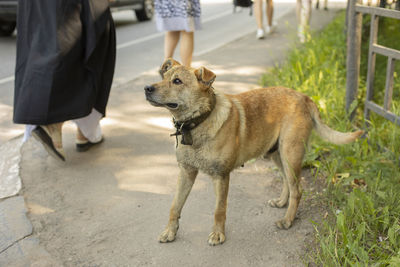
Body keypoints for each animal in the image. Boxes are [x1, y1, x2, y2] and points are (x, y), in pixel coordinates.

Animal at [145, 58, 364, 247]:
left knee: (297, 190)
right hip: (277, 155)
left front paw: (218, 234)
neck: (198, 123)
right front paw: (170, 232)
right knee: (287, 182)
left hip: (290, 154)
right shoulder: (186, 173)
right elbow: (175, 206)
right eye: (163, 77)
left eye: (177, 81)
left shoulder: (221, 177)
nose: (147, 88)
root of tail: (305, 97)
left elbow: (219, 210)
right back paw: (281, 202)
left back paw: (287, 220)